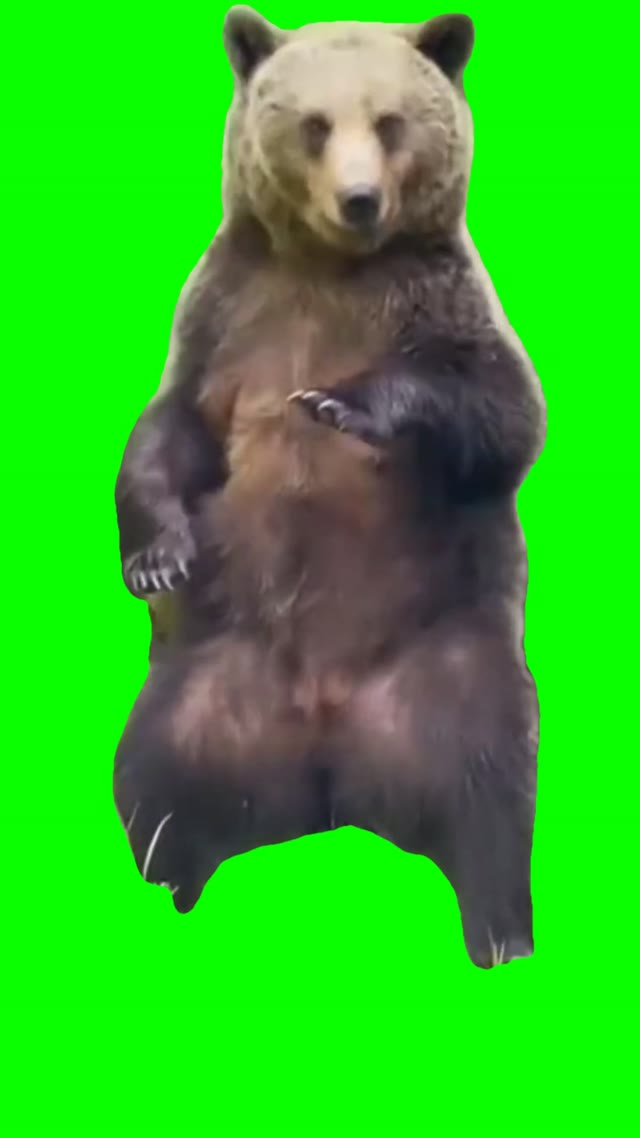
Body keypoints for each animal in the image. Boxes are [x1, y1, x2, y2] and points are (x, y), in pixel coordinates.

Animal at [113, 6, 546, 968]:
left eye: (389, 122)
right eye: (313, 124)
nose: (359, 201)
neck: (328, 269)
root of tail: (331, 772)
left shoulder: (438, 299)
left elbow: (503, 414)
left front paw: (342, 405)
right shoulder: (231, 319)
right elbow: (172, 432)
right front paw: (158, 554)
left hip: (446, 664)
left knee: (491, 792)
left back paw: (501, 932)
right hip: (206, 683)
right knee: (153, 785)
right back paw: (167, 890)